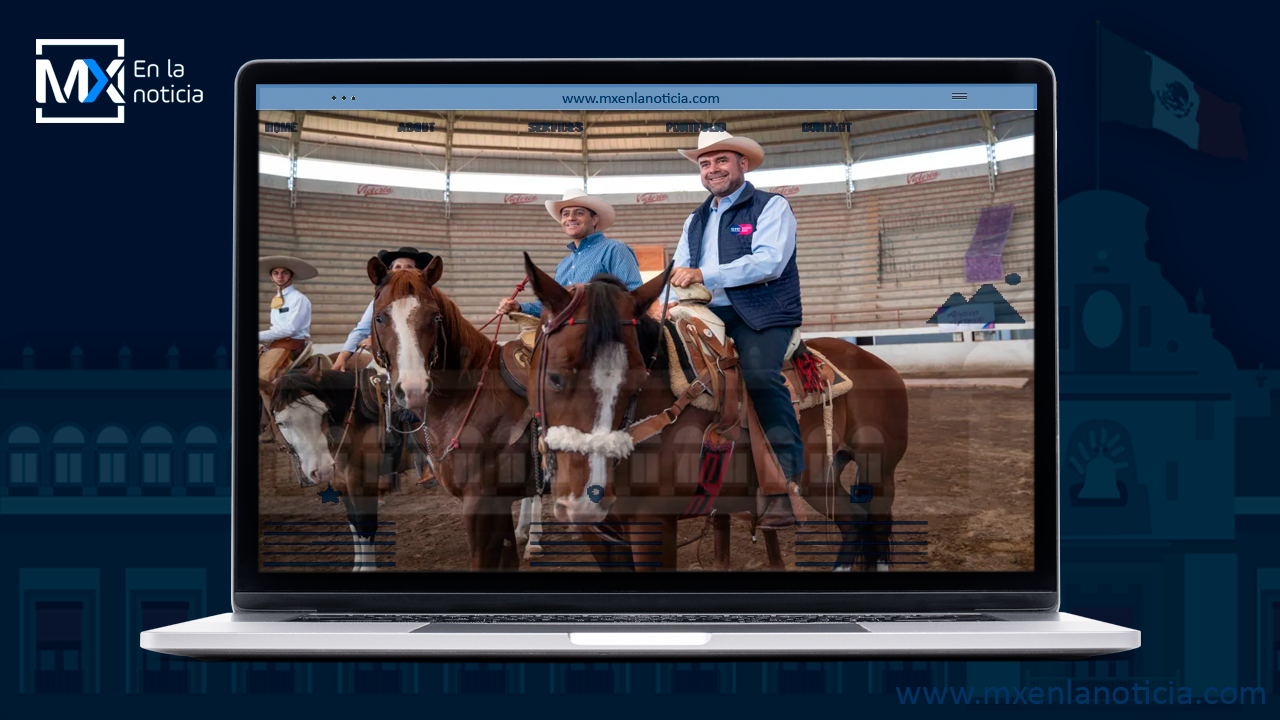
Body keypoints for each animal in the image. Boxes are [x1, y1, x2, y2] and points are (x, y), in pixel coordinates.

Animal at [266, 366, 386, 568]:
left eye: (324, 413)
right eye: (281, 423)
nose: (322, 470)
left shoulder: (363, 483)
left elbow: (365, 526)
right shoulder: (342, 483)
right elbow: (354, 523)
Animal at [366, 254, 540, 568]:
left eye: (435, 317)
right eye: (380, 318)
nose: (413, 388)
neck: (469, 397)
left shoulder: (479, 503)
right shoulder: (498, 501)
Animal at [519, 254, 911, 568]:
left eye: (637, 380)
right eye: (554, 378)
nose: (587, 497)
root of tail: (877, 363)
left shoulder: (652, 524)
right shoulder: (599, 531)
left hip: (879, 472)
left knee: (875, 524)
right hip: (821, 476)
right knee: (855, 523)